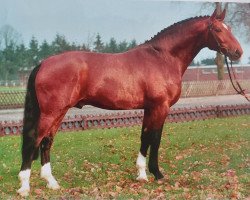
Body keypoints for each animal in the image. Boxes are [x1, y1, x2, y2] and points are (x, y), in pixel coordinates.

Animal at [16, 8, 242, 196]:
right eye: (217, 29)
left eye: (229, 28)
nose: (238, 52)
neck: (163, 57)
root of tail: (43, 63)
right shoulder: (160, 107)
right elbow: (155, 139)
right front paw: (158, 174)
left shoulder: (149, 109)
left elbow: (145, 138)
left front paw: (141, 175)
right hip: (51, 112)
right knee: (34, 141)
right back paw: (25, 187)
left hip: (59, 112)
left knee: (46, 142)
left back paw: (52, 183)